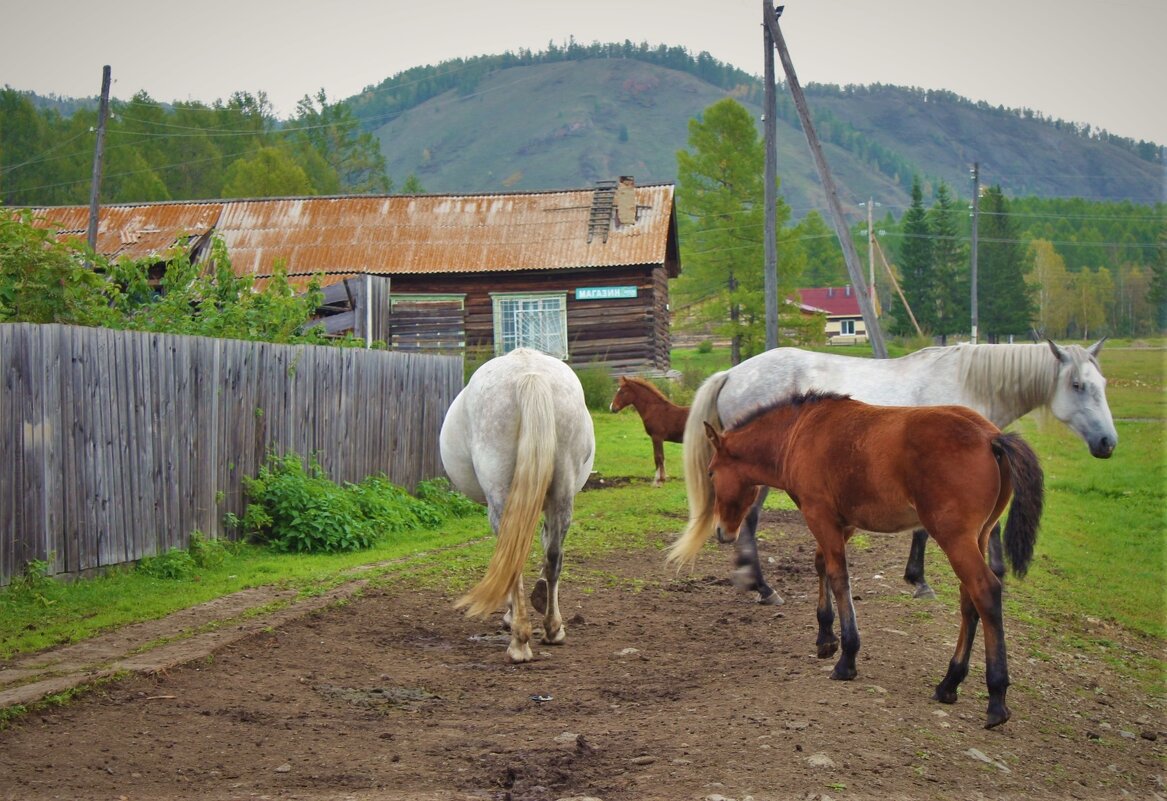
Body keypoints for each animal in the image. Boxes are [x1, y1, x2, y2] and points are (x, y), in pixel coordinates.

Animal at [441, 347, 597, 663]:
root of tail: (530, 374)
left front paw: (512, 614)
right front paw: (539, 597)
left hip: (501, 495)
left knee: (511, 555)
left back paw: (519, 641)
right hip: (563, 492)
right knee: (554, 555)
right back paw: (552, 629)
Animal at [672, 392, 1045, 733]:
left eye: (711, 472)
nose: (722, 531)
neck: (798, 432)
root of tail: (990, 437)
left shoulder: (820, 515)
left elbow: (839, 576)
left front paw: (847, 658)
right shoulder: (843, 522)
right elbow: (821, 564)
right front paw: (825, 637)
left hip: (954, 537)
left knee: (985, 592)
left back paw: (996, 699)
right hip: (979, 536)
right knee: (970, 601)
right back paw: (949, 682)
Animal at [681, 340, 1120, 607]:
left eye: (1102, 382)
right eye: (1077, 384)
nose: (1107, 443)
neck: (968, 382)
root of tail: (732, 373)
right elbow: (926, 530)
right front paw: (920, 580)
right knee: (748, 519)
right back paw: (762, 586)